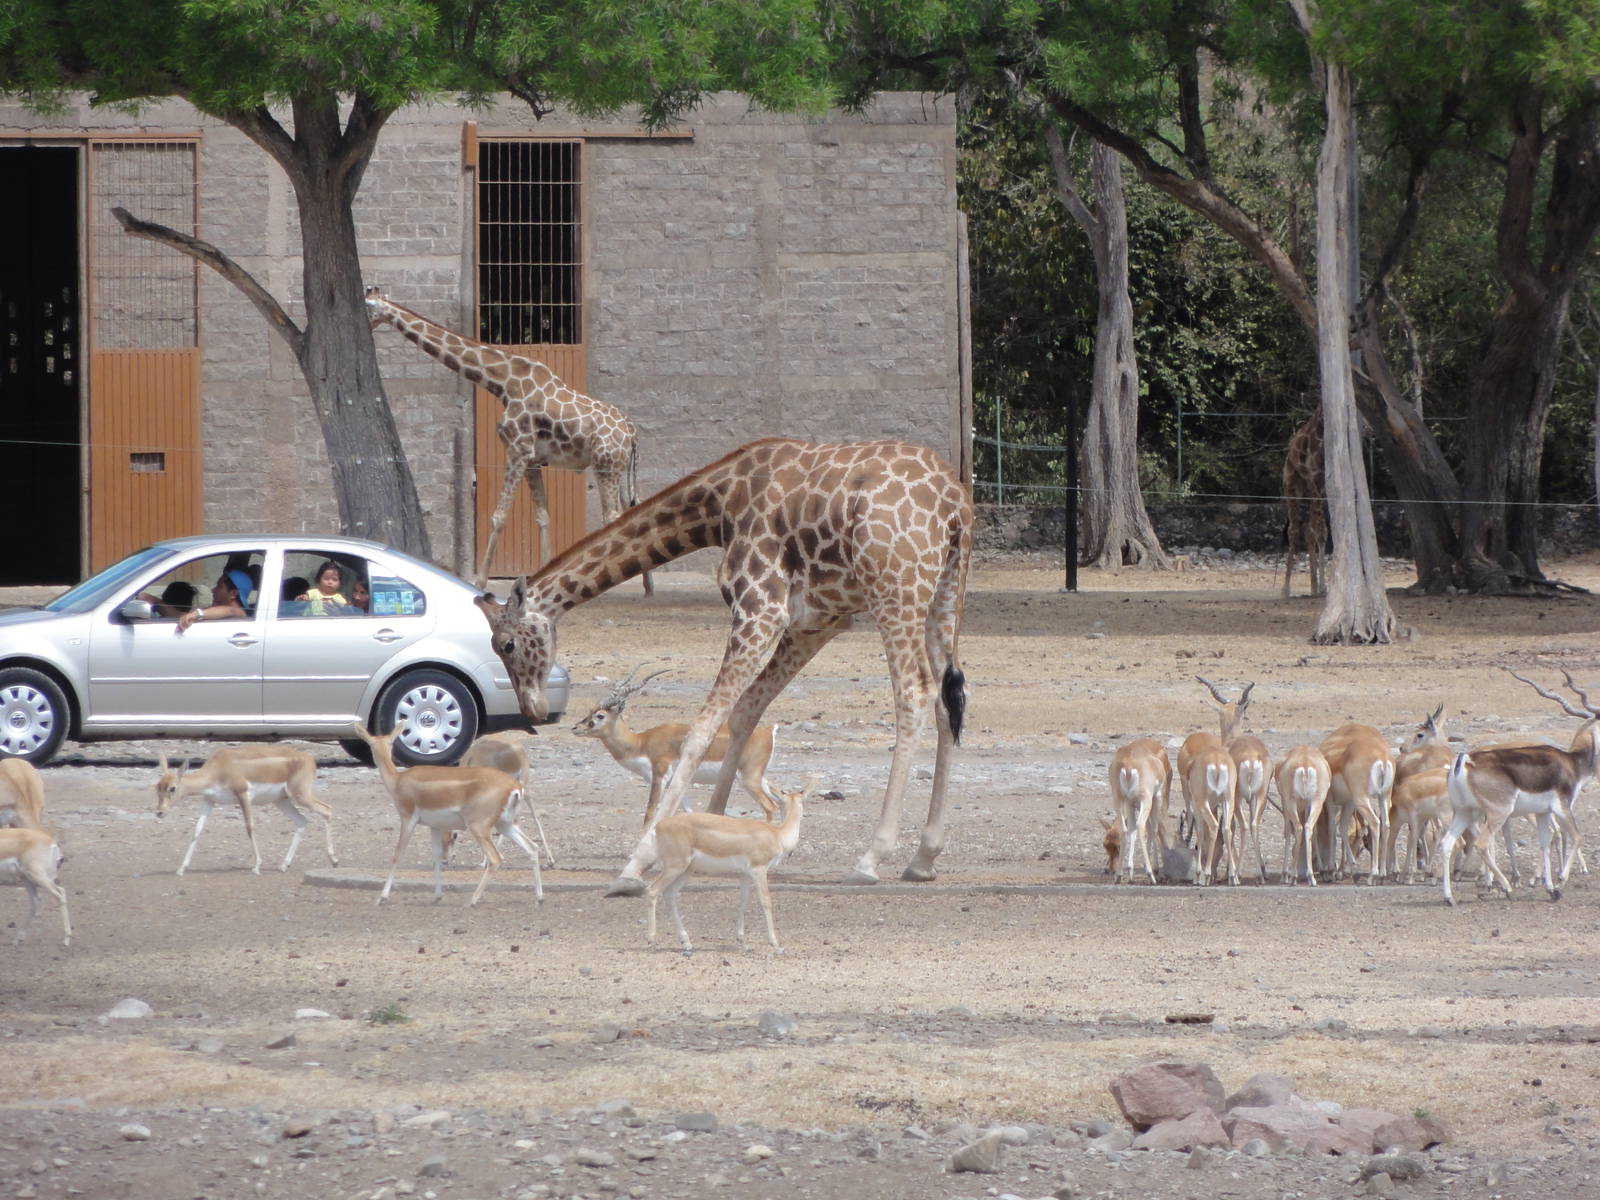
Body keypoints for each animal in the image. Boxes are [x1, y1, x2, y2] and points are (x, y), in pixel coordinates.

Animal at [364, 288, 651, 594]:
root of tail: (631, 431)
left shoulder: (517, 449)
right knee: (633, 508)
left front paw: (479, 581)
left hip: (605, 465)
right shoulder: (533, 459)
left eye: (368, 305)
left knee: (613, 516)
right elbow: (543, 517)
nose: (365, 323)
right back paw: (647, 584)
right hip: (619, 468)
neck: (502, 384)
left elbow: (498, 516)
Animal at [475, 437, 974, 891]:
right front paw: (712, 834)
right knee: (946, 700)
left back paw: (871, 857)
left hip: (895, 592)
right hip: (944, 594)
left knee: (913, 691)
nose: (533, 710)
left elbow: (700, 729)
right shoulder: (818, 621)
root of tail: (956, 504)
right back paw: (924, 857)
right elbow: (744, 710)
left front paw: (635, 865)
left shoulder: (761, 609)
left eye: (506, 645)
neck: (717, 507)